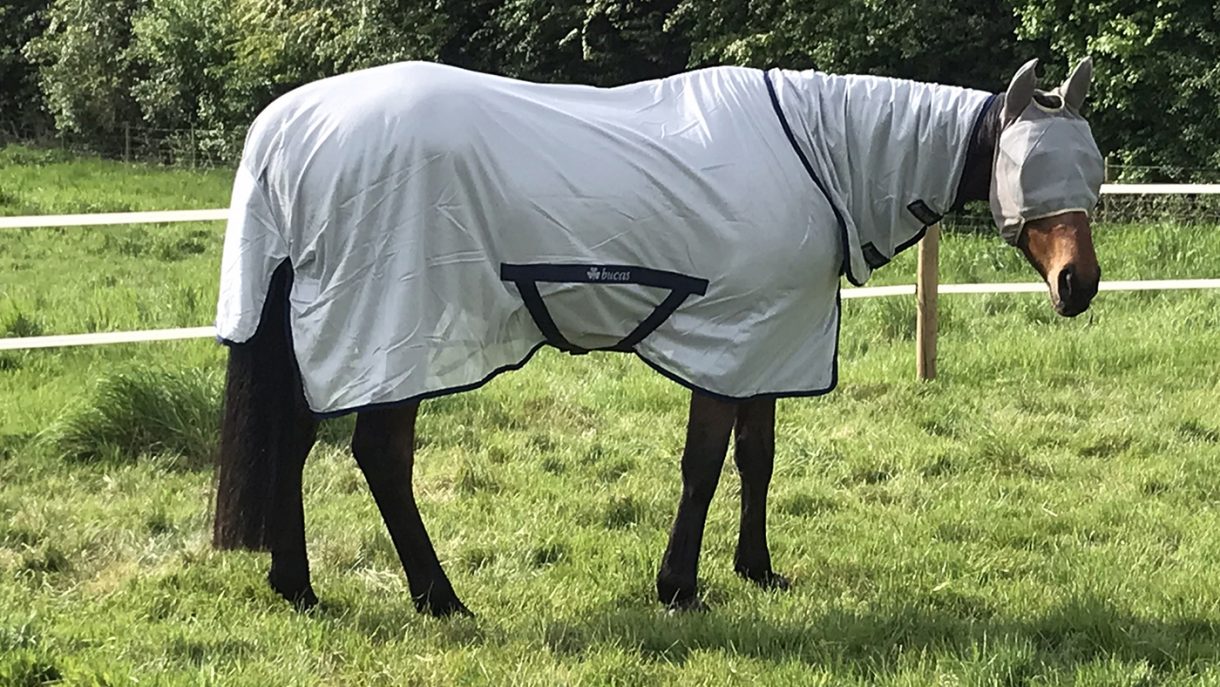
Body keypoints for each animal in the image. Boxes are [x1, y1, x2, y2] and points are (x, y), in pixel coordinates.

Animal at [211, 57, 1104, 615]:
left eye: (1092, 170)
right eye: (1029, 168)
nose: (1081, 285)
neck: (818, 159)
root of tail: (289, 127)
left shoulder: (769, 336)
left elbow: (757, 458)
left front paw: (757, 570)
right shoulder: (728, 335)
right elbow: (705, 465)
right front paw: (679, 585)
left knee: (293, 443)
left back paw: (298, 586)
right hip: (397, 338)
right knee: (380, 456)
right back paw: (441, 598)